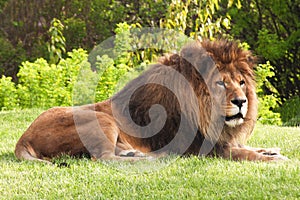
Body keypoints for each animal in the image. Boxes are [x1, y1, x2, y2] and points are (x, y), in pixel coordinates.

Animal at [14, 38, 288, 162]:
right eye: (221, 83)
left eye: (241, 83)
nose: (241, 101)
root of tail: (23, 137)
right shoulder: (204, 148)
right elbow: (243, 153)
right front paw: (275, 159)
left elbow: (247, 147)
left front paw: (271, 150)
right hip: (101, 118)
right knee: (104, 158)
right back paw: (148, 158)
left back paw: (135, 153)